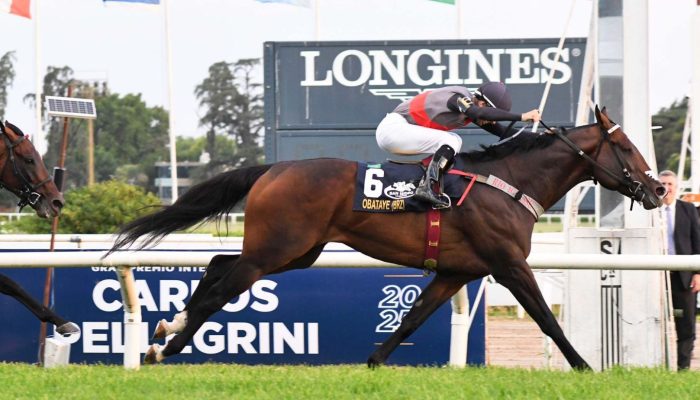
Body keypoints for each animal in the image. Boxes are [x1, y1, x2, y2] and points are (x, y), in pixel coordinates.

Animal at [0, 120, 79, 337]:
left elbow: (12, 284)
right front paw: (62, 322)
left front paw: (60, 321)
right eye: (29, 159)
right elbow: (11, 283)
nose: (57, 202)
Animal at [110, 106, 665, 369]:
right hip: (277, 248)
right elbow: (547, 319)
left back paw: (167, 328)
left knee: (219, 265)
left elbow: (413, 316)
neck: (508, 183)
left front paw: (374, 361)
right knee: (225, 284)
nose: (659, 188)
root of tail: (274, 168)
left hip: (295, 251)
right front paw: (585, 367)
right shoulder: (508, 265)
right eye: (627, 148)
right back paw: (166, 346)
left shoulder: (457, 271)